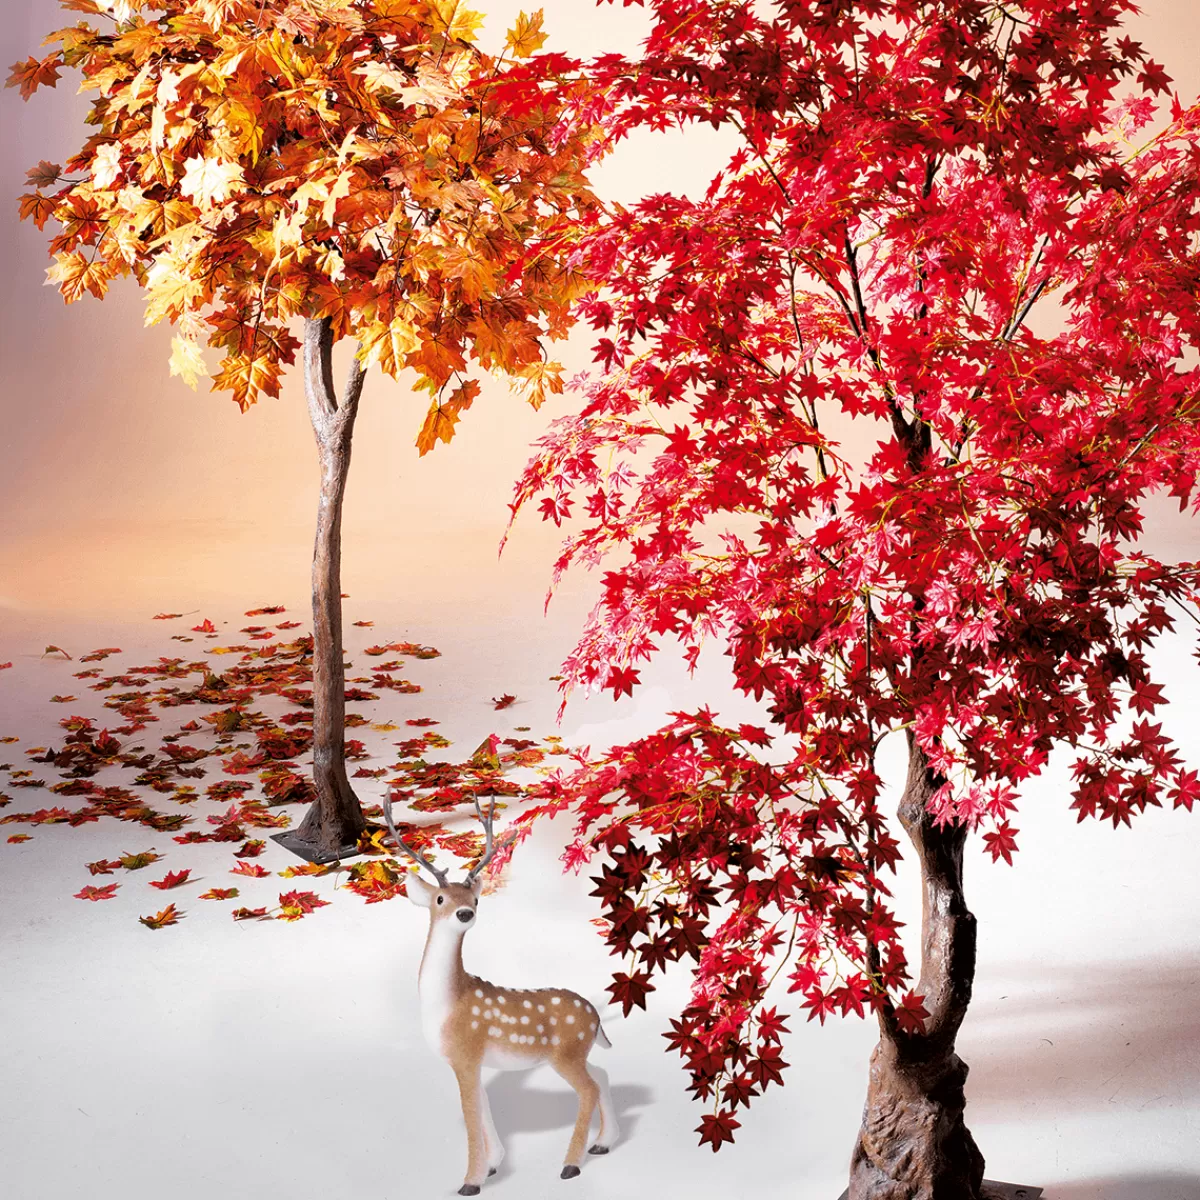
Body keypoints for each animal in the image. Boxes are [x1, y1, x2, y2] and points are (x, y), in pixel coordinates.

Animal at [383, 790, 619, 1196]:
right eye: (441, 899)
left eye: (476, 900)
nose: (465, 913)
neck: (446, 1003)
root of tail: (595, 1016)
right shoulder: (473, 1061)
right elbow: (485, 1104)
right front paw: (494, 1165)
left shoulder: (465, 1052)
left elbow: (470, 1111)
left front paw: (470, 1182)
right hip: (579, 1052)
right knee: (602, 1075)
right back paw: (603, 1144)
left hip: (565, 1054)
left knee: (588, 1089)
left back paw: (570, 1164)